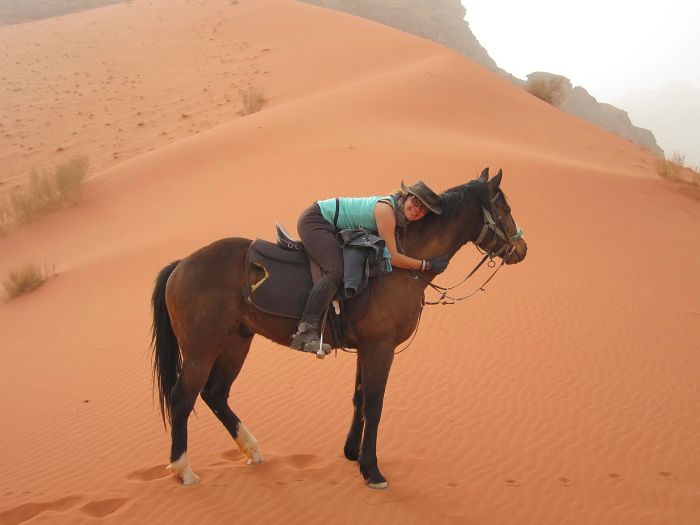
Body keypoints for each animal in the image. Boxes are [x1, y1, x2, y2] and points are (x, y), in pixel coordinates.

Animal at [152, 167, 524, 488]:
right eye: (504, 208)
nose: (522, 249)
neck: (399, 264)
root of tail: (180, 265)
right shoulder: (380, 348)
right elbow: (374, 405)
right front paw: (372, 470)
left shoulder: (368, 348)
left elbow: (359, 399)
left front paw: (352, 453)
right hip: (202, 349)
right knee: (183, 398)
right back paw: (183, 469)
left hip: (236, 342)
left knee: (215, 394)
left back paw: (252, 449)